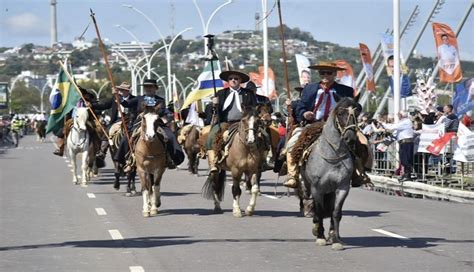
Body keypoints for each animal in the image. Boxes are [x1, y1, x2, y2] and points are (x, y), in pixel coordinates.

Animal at [302, 98, 362, 251]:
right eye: (340, 113)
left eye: (357, 113)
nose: (350, 139)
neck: (333, 157)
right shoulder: (317, 189)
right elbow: (319, 210)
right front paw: (320, 237)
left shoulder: (342, 188)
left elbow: (336, 212)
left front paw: (335, 239)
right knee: (315, 207)